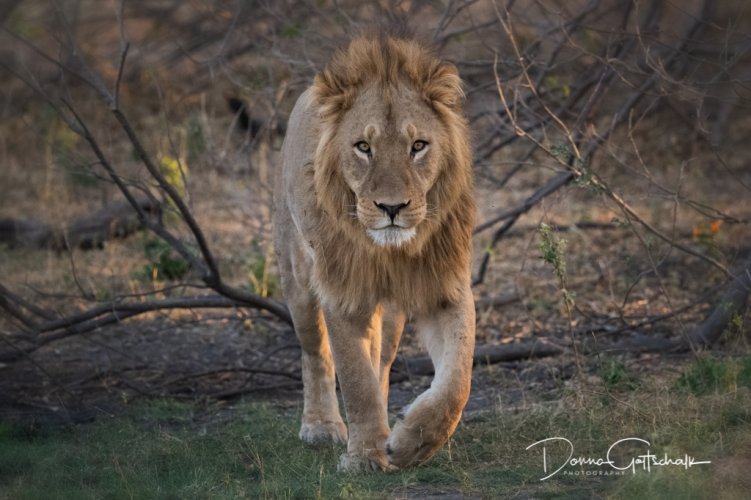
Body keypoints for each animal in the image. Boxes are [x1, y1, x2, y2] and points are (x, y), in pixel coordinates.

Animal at [274, 36, 476, 472]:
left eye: (418, 146)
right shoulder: (342, 292)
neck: (389, 254)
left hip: (393, 314)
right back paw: (321, 426)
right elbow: (354, 378)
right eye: (363, 147)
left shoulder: (444, 287)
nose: (392, 207)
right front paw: (365, 456)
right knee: (315, 353)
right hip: (297, 282)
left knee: (381, 363)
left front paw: (412, 443)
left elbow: (457, 381)